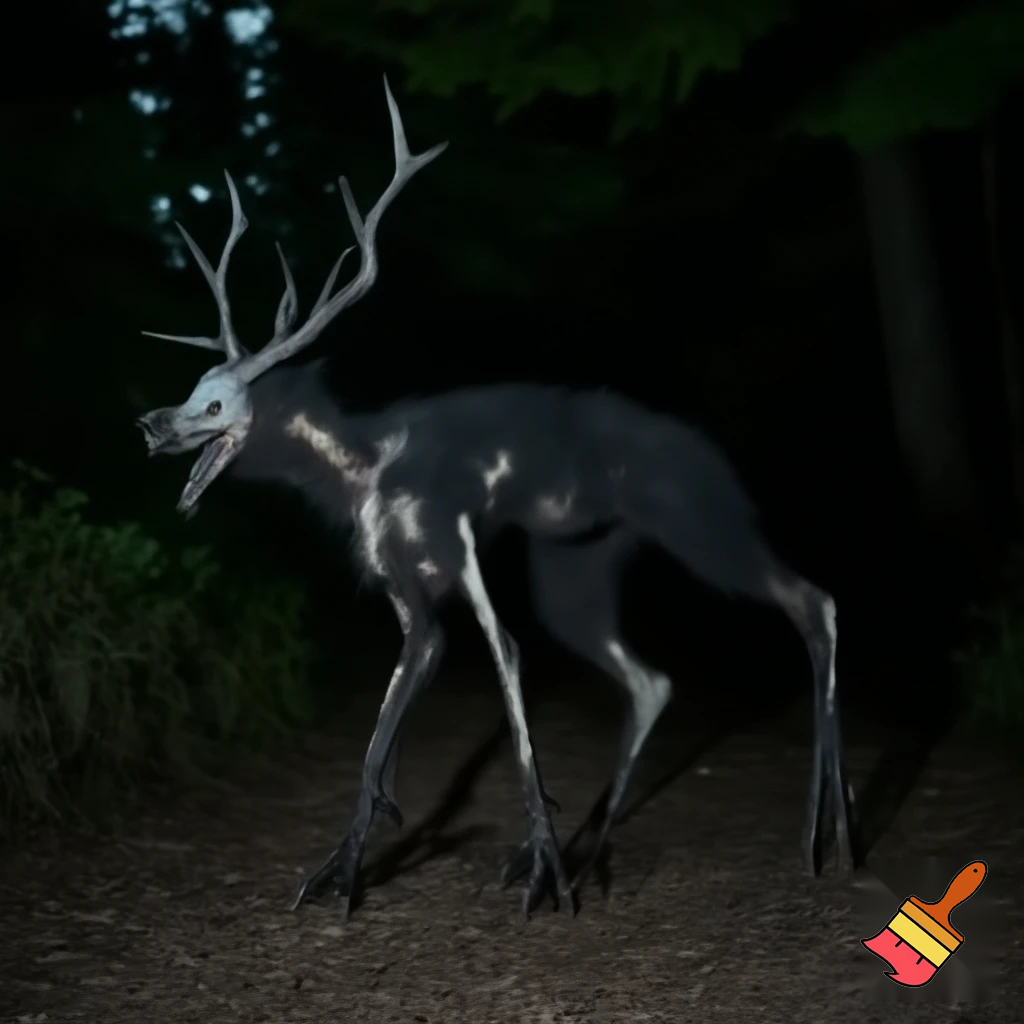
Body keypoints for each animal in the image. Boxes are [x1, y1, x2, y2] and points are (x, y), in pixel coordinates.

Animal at [135, 76, 859, 920]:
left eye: (216, 405)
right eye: (192, 390)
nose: (151, 426)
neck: (370, 463)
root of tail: (707, 450)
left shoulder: (458, 544)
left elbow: (507, 659)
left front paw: (543, 871)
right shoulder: (407, 590)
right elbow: (383, 733)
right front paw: (342, 872)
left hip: (701, 521)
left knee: (813, 602)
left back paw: (828, 839)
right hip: (573, 569)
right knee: (653, 680)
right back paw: (597, 846)